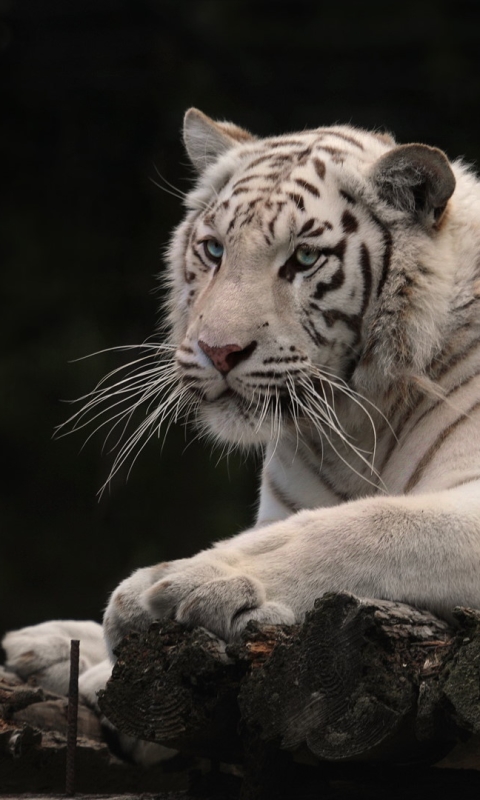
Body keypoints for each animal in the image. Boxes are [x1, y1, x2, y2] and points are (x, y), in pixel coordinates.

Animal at [2, 109, 480, 716]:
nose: (219, 350)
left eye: (304, 258)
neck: (355, 430)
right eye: (213, 250)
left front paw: (190, 584)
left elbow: (375, 523)